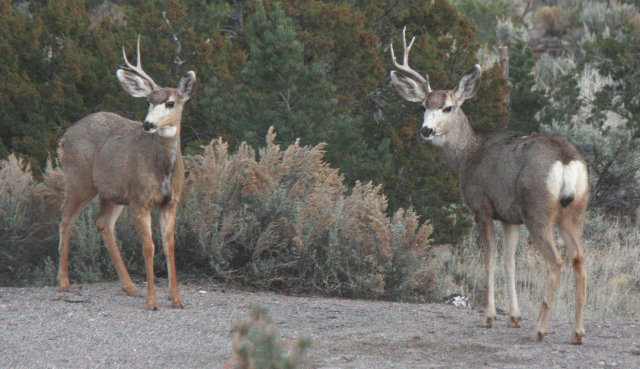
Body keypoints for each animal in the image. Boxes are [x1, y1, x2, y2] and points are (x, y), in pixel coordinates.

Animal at [56, 36, 196, 308]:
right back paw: (64, 282)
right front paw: (152, 301)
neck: (162, 171)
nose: (148, 124)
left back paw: (129, 286)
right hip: (79, 180)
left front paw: (176, 299)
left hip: (112, 193)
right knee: (66, 219)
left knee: (102, 223)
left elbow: (170, 246)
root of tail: (64, 137)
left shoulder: (171, 202)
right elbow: (149, 247)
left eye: (170, 103)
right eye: (147, 101)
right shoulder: (140, 200)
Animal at [388, 28, 588, 342]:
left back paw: (540, 329)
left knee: (556, 260)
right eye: (423, 105)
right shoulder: (509, 216)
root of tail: (566, 160)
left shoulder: (481, 206)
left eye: (448, 107)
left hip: (538, 208)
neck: (467, 155)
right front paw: (515, 317)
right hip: (574, 210)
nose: (426, 130)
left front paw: (490, 316)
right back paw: (577, 332)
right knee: (579, 257)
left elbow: (490, 258)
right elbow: (509, 261)